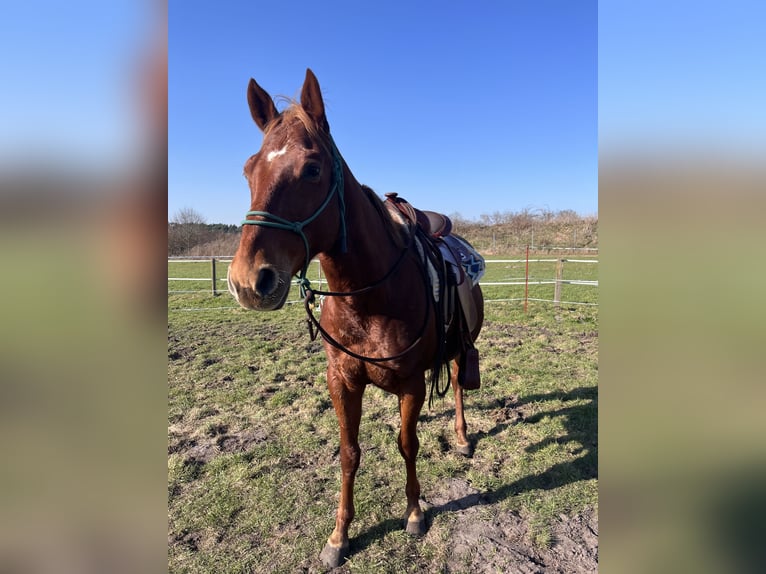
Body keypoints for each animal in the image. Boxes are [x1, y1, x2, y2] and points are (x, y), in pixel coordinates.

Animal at [227, 68, 484, 568]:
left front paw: (415, 514)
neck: (369, 297)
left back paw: (462, 436)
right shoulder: (342, 380)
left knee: (460, 380)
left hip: (461, 347)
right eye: (249, 170)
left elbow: (407, 444)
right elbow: (349, 453)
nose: (249, 280)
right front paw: (339, 536)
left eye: (312, 169)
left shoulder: (410, 382)